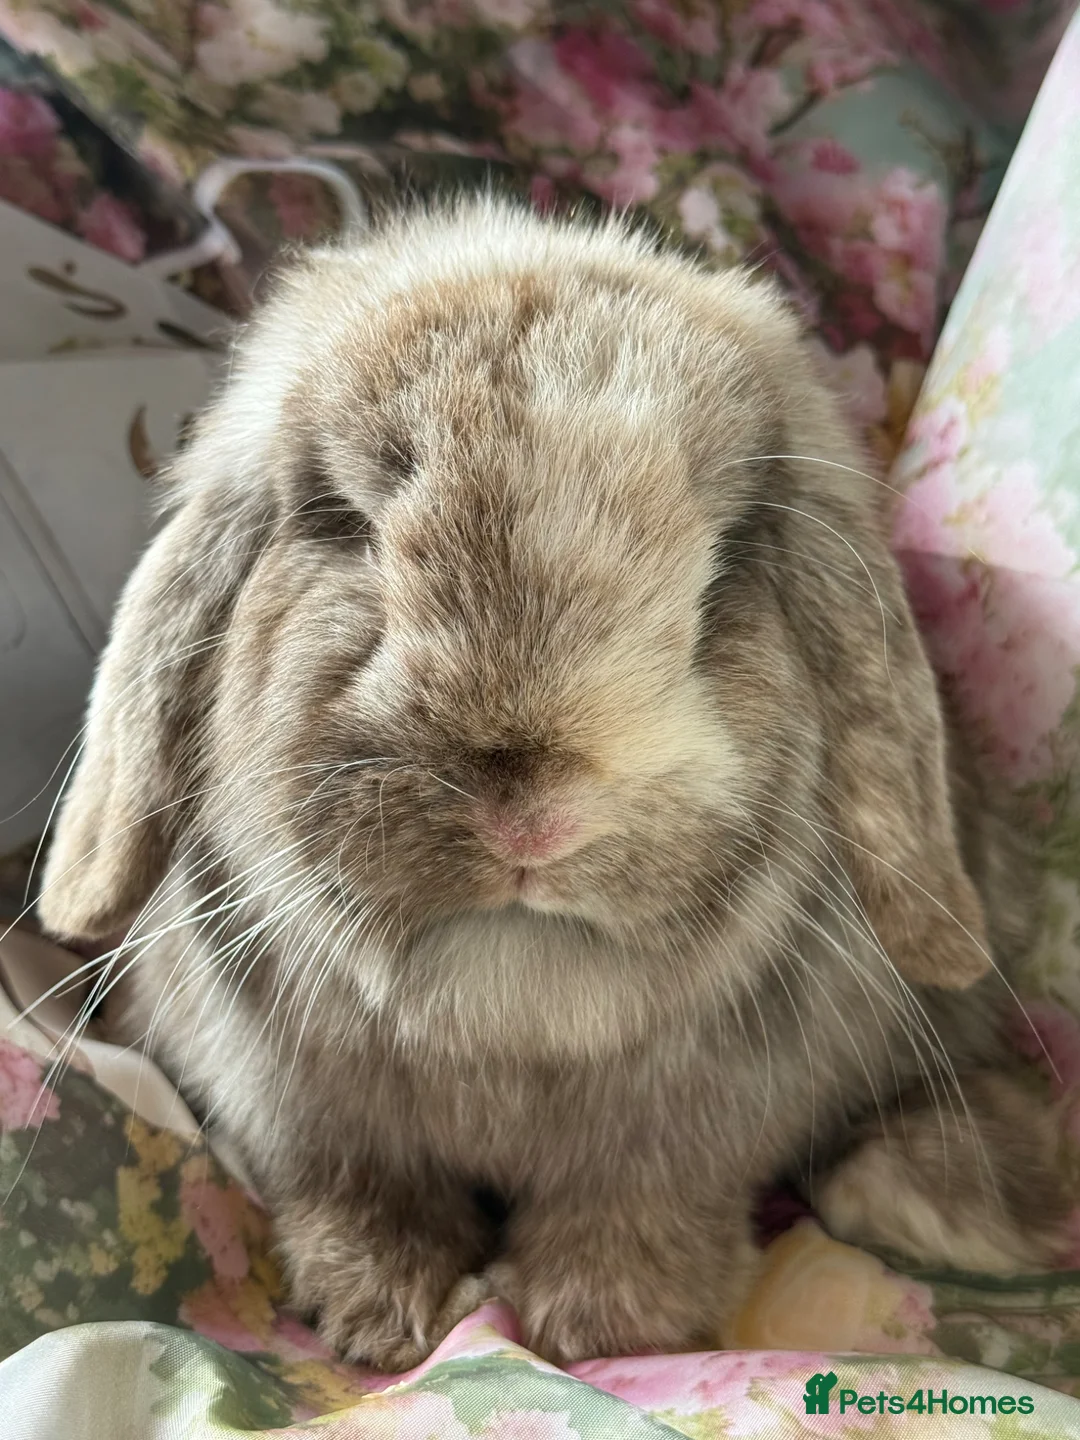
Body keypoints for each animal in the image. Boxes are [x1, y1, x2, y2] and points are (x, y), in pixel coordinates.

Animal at [39, 198, 1069, 1368]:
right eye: (345, 524)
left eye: (722, 575)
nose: (534, 818)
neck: (509, 986)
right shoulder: (311, 1127)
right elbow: (358, 1202)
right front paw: (379, 1319)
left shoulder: (682, 1148)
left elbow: (638, 1213)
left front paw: (601, 1328)